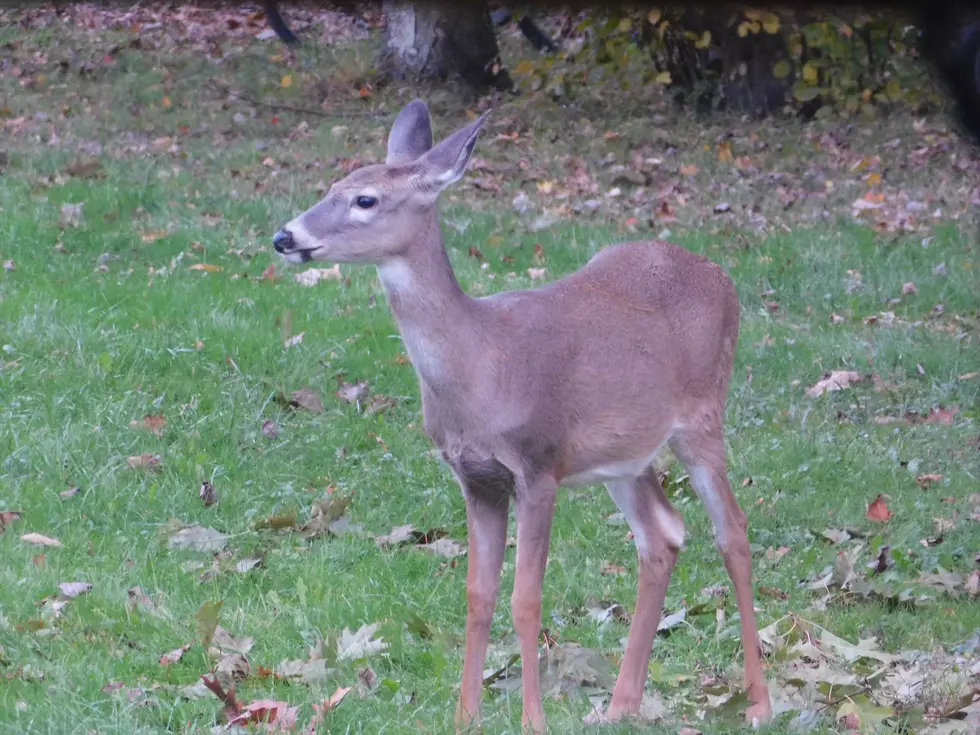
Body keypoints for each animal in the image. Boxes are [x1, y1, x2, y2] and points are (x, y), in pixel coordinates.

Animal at [274, 99, 772, 735]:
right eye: (332, 186)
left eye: (365, 199)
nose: (285, 236)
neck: (483, 367)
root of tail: (722, 275)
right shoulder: (476, 478)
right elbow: (478, 595)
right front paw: (465, 717)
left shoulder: (539, 465)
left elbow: (526, 599)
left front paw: (533, 718)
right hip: (625, 454)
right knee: (662, 534)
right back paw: (620, 704)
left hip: (704, 415)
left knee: (732, 530)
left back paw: (758, 702)